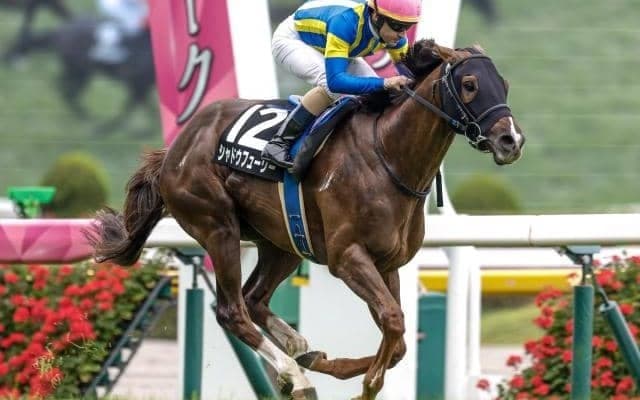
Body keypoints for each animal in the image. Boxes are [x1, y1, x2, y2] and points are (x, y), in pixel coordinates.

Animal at [87, 39, 525, 400]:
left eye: (503, 83)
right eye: (470, 84)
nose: (511, 141)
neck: (388, 156)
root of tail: (174, 150)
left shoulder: (387, 264)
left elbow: (397, 337)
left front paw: (339, 367)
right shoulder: (347, 257)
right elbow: (394, 321)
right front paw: (367, 385)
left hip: (281, 243)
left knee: (254, 298)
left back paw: (302, 353)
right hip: (217, 226)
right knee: (232, 310)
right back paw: (293, 374)